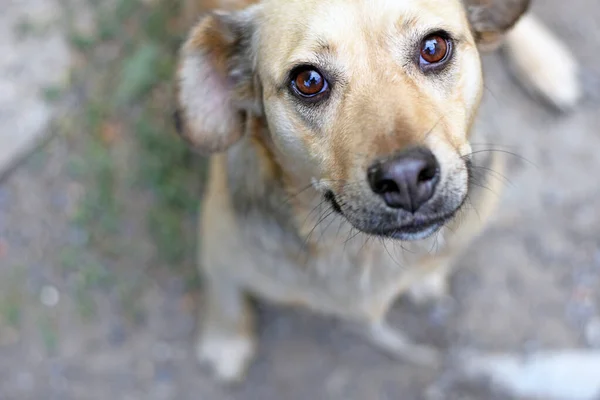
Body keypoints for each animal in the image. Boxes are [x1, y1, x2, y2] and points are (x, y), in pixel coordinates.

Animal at [172, 0, 580, 382]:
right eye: (308, 81)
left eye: (434, 47)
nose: (406, 177)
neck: (362, 252)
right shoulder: (218, 253)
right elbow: (224, 299)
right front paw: (225, 343)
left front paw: (425, 278)